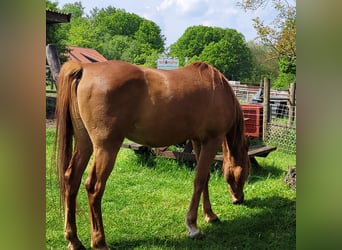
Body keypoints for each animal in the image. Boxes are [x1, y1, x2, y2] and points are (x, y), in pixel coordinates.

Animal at [54, 61, 250, 250]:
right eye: (246, 172)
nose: (239, 199)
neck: (219, 89)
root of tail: (85, 68)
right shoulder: (212, 140)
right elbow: (200, 180)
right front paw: (193, 226)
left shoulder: (198, 140)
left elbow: (205, 179)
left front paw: (210, 214)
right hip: (106, 147)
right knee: (94, 187)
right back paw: (99, 242)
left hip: (85, 144)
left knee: (71, 180)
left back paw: (74, 240)